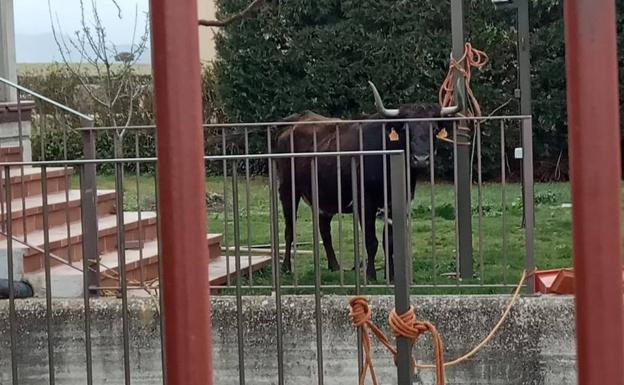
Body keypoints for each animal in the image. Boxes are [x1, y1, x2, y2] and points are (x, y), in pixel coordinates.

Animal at [272, 82, 458, 280]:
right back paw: (286, 267)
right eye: (405, 129)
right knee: (289, 229)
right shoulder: (366, 203)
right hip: (288, 190)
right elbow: (371, 240)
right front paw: (370, 275)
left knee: (324, 230)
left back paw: (334, 265)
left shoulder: (396, 203)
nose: (421, 159)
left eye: (435, 129)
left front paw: (392, 276)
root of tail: (294, 122)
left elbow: (389, 241)